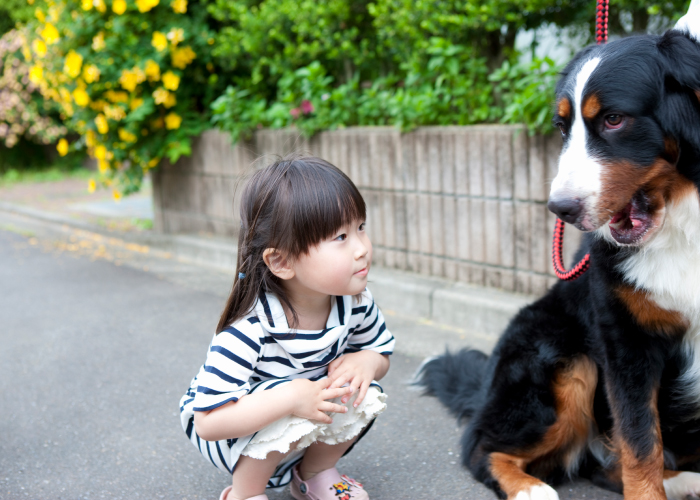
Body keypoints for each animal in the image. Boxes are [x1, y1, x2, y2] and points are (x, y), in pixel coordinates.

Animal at [418, 4, 700, 500]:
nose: (560, 209)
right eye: (563, 127)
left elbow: (638, 446)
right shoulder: (624, 339)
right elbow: (639, 444)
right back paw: (530, 488)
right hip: (562, 357)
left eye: (614, 119)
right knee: (480, 447)